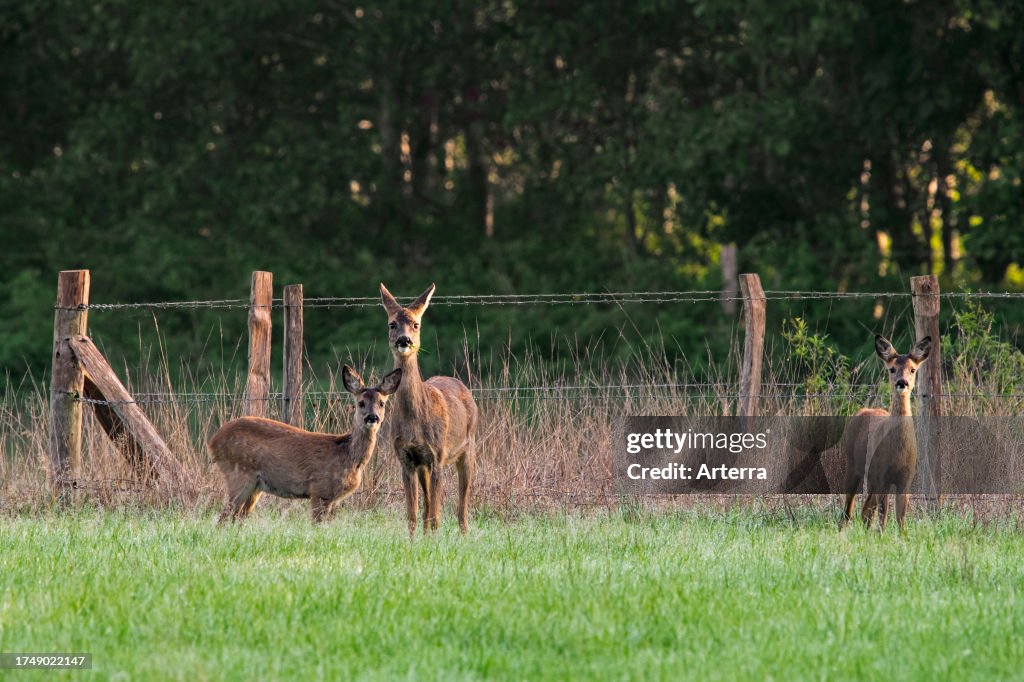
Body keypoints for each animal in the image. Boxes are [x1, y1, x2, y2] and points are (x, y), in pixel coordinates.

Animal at [209, 366, 402, 523]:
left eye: (381, 403)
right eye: (361, 403)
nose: (372, 417)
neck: (348, 457)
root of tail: (213, 442)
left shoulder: (333, 499)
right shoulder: (320, 490)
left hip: (255, 486)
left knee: (237, 518)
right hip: (239, 473)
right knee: (223, 518)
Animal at [379, 282, 479, 537]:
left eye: (416, 324)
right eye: (392, 324)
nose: (404, 340)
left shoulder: (437, 455)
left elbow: (435, 513)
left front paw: (433, 540)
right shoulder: (406, 457)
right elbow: (413, 513)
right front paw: (414, 541)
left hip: (468, 447)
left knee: (461, 506)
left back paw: (464, 534)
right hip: (424, 465)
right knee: (427, 507)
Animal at [840, 334, 932, 531]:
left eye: (913, 369)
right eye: (892, 369)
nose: (902, 382)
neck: (898, 452)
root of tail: (863, 410)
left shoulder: (905, 478)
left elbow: (900, 517)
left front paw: (901, 536)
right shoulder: (883, 475)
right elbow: (884, 514)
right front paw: (881, 535)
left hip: (872, 477)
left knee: (866, 509)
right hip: (853, 465)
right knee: (848, 510)